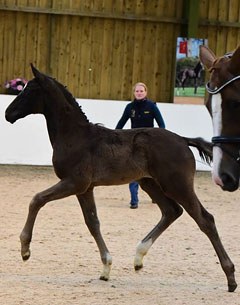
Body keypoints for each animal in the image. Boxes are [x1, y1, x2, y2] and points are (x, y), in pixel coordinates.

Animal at [5, 64, 236, 290]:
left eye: (30, 90)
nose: (8, 113)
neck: (75, 136)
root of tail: (182, 139)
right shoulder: (85, 188)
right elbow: (92, 222)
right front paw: (106, 268)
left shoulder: (75, 182)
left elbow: (37, 199)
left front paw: (25, 249)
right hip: (150, 183)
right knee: (171, 211)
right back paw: (138, 257)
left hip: (177, 186)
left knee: (205, 219)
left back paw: (231, 277)